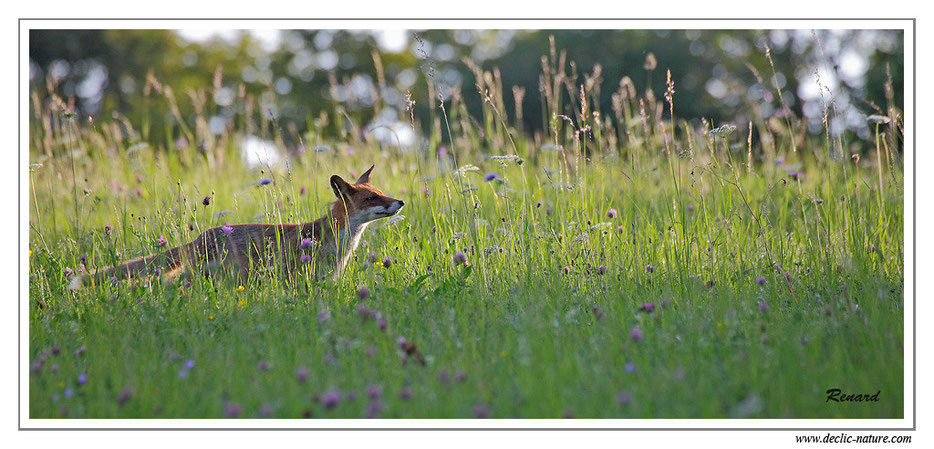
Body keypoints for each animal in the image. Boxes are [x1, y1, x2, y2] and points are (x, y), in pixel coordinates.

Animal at [66, 164, 402, 288]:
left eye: (381, 192)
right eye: (372, 198)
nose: (400, 202)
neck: (338, 244)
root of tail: (202, 236)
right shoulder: (294, 276)